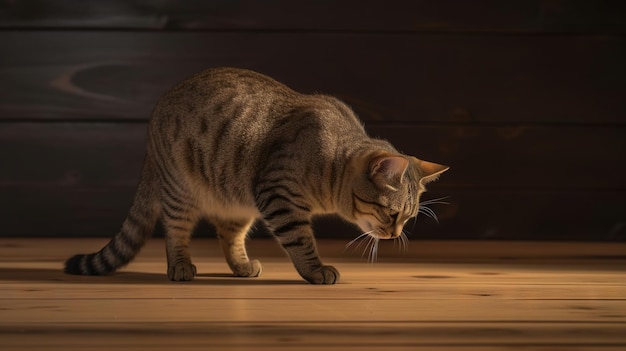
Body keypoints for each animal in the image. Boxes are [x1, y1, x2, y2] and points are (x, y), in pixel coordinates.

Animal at [64, 68, 448, 286]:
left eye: (408, 218)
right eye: (392, 214)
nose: (395, 235)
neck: (331, 162)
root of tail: (154, 115)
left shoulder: (262, 198)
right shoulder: (278, 196)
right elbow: (301, 242)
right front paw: (316, 270)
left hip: (239, 202)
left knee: (227, 235)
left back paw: (242, 266)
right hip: (180, 190)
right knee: (175, 233)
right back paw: (181, 266)